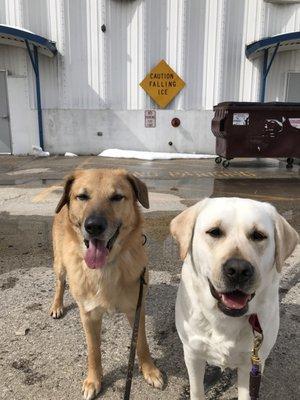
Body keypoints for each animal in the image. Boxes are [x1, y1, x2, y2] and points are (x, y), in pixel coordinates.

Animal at [49, 169, 162, 400]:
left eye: (117, 197)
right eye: (82, 196)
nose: (93, 226)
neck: (106, 268)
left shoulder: (136, 309)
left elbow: (141, 343)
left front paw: (149, 370)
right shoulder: (88, 315)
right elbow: (94, 351)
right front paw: (94, 380)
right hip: (60, 264)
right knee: (60, 283)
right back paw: (57, 305)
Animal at [170, 198, 298, 400]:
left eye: (258, 235)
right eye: (214, 232)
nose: (238, 269)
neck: (225, 318)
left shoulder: (252, 363)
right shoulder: (193, 354)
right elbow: (197, 390)